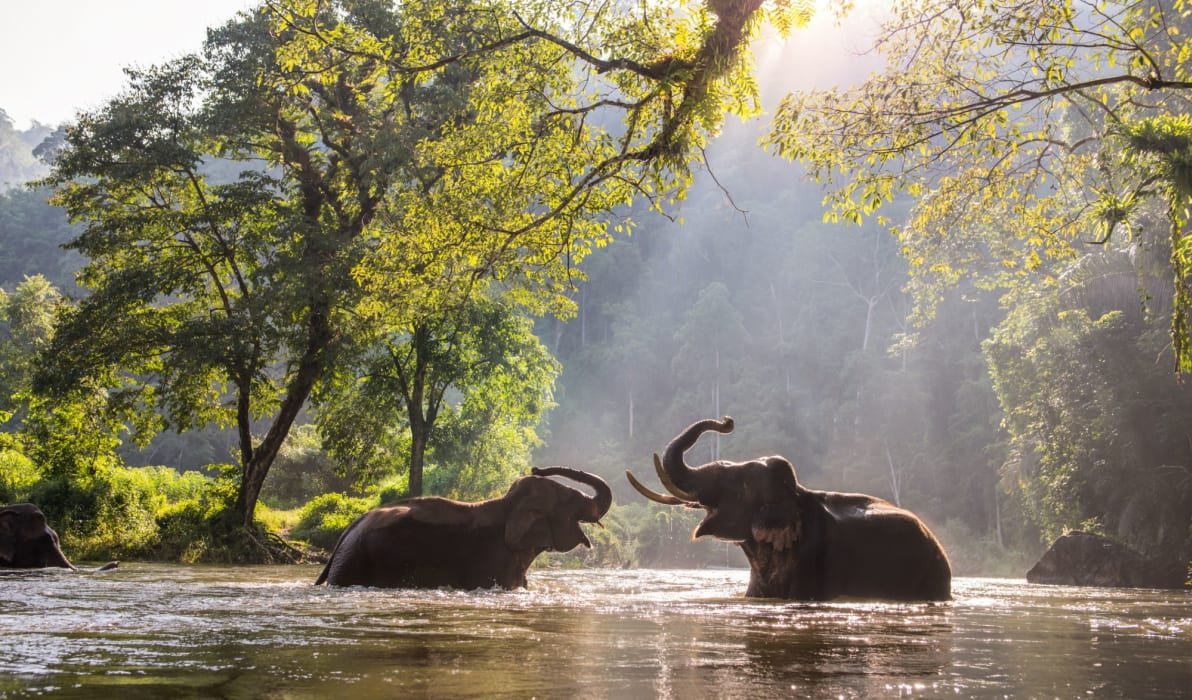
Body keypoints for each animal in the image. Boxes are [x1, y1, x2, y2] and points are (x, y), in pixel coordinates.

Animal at [315, 466, 612, 589]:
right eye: (571, 500)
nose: (536, 468)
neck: (507, 504)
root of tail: (348, 530)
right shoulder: (492, 560)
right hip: (353, 562)